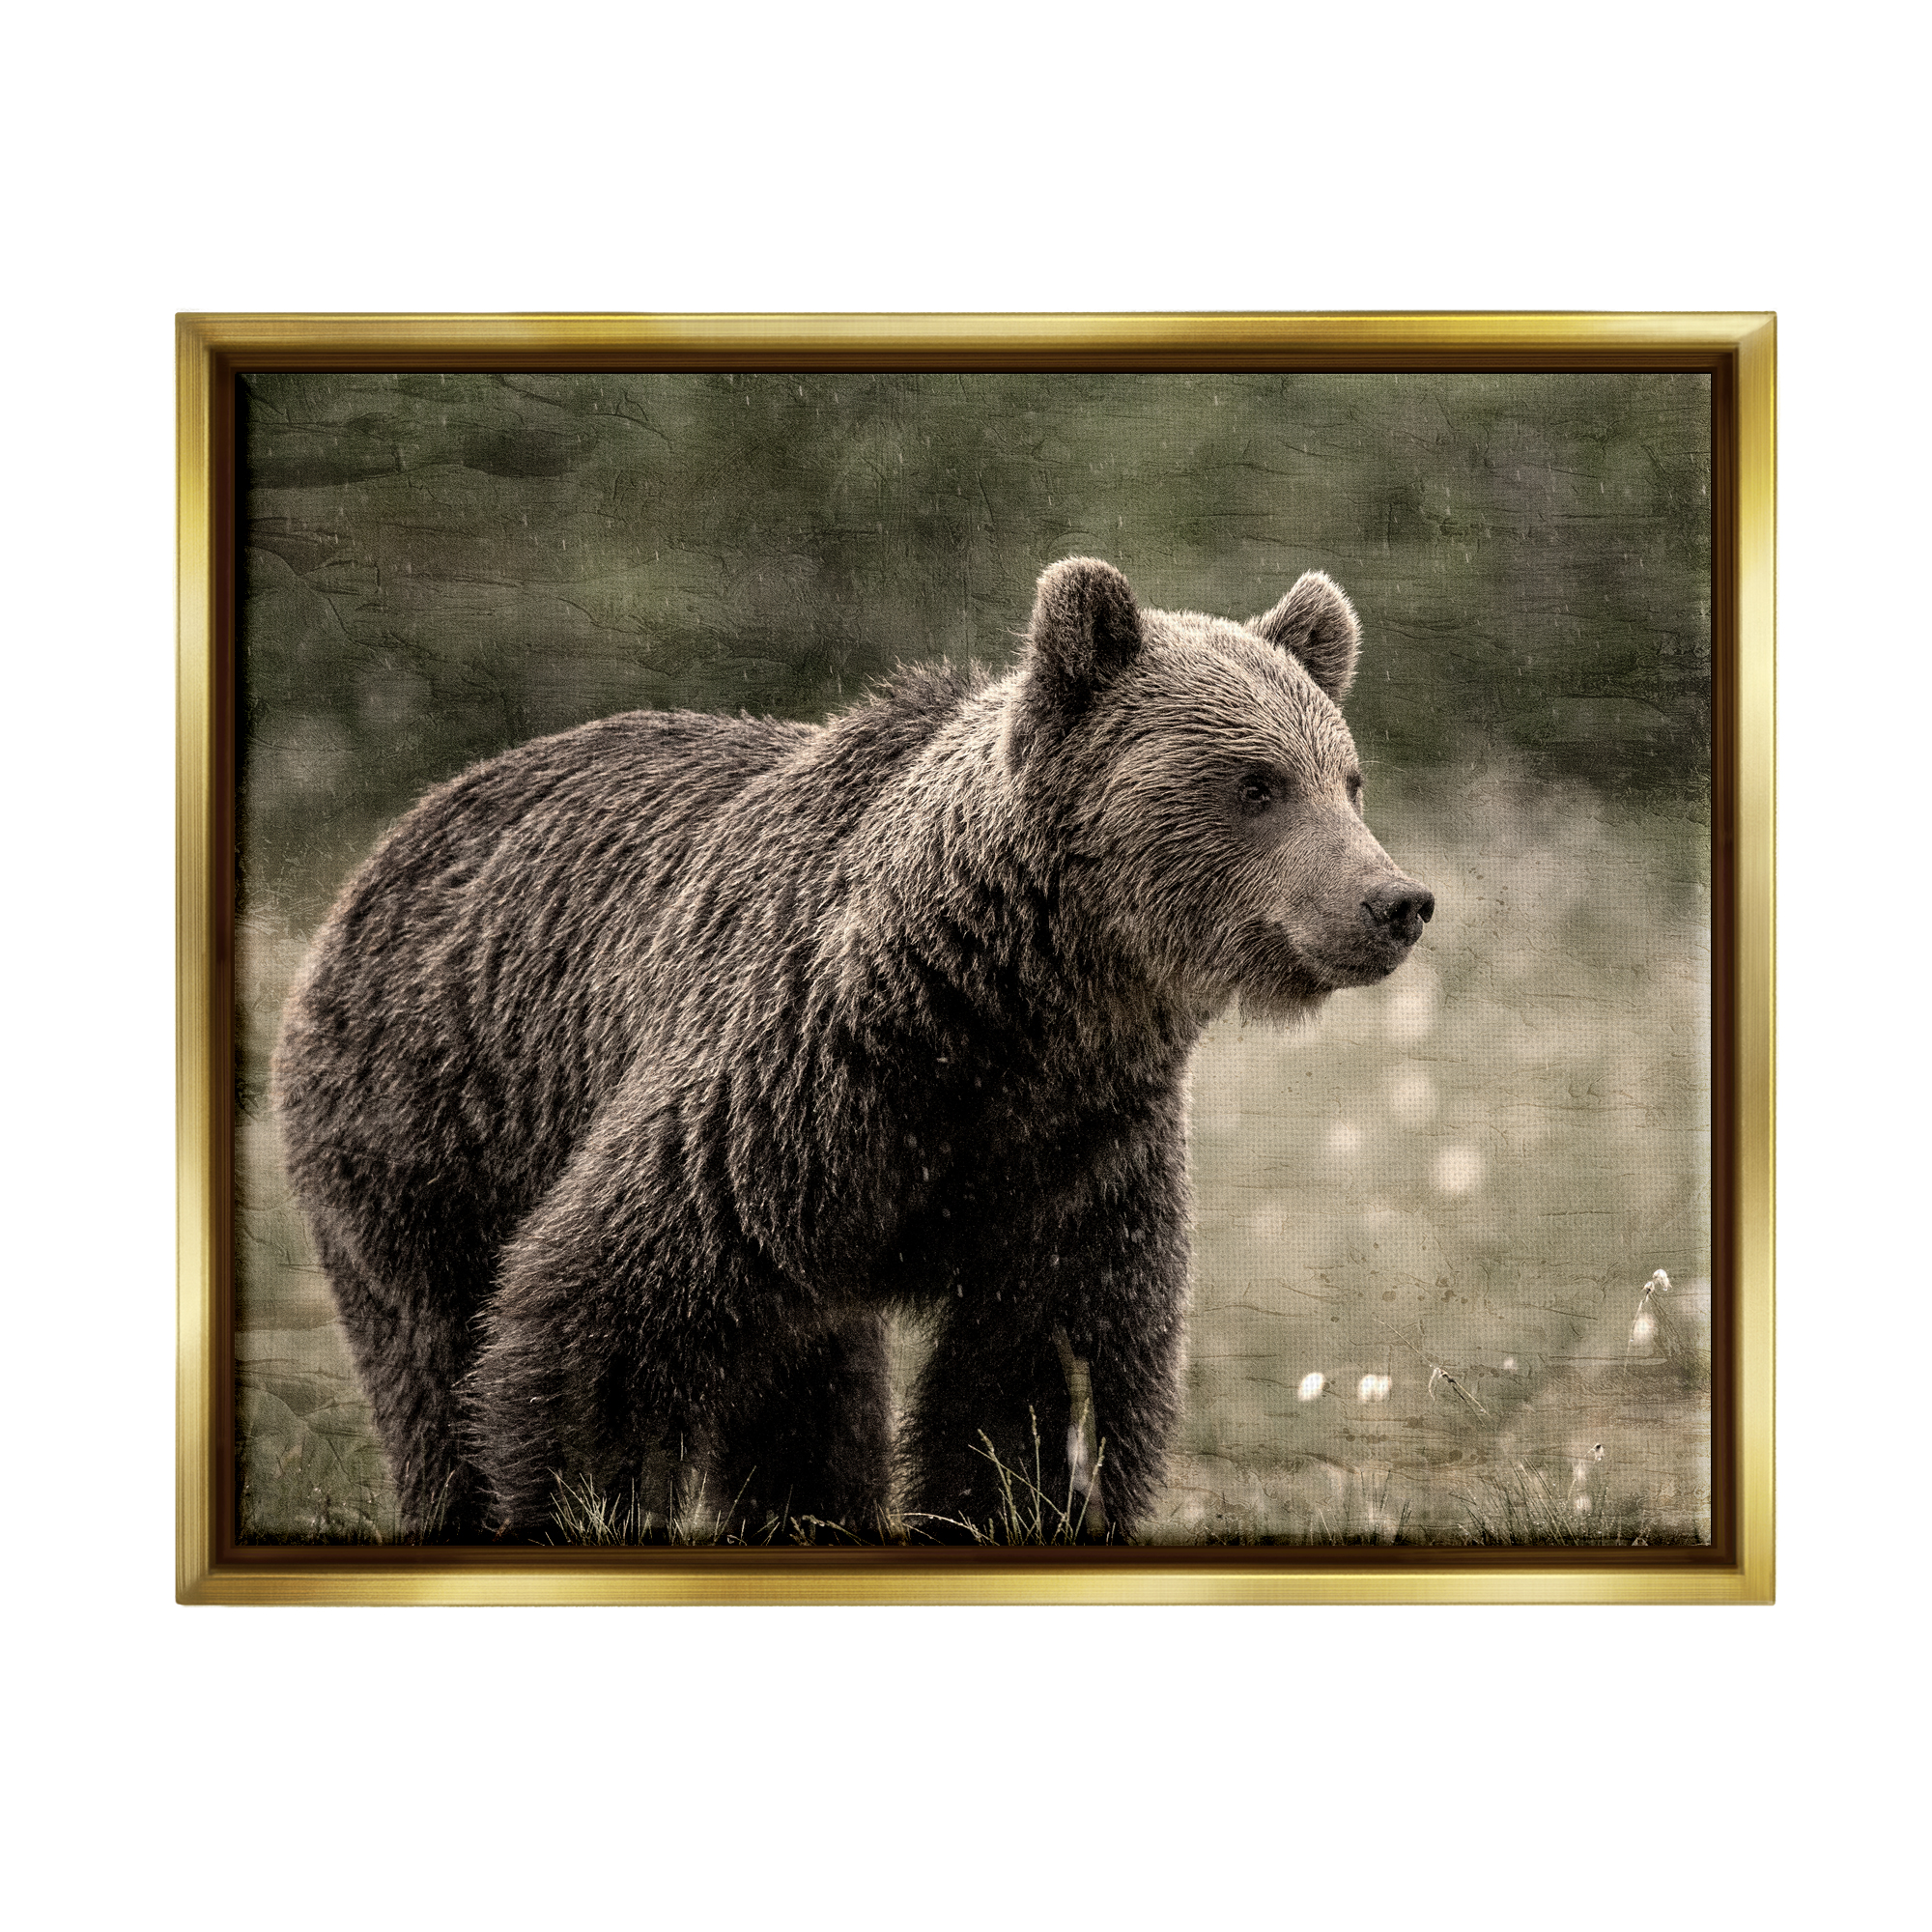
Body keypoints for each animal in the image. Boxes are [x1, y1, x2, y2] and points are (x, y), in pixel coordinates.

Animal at [273, 557, 1433, 1542]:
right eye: (1255, 782)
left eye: (1348, 777)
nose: (1395, 901)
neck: (1008, 1010)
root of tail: (395, 838)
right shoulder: (791, 1089)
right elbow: (602, 1320)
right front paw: (583, 1504)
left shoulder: (1078, 1150)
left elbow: (1041, 1375)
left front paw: (1015, 1505)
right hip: (432, 1123)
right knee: (434, 1352)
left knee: (807, 1389)